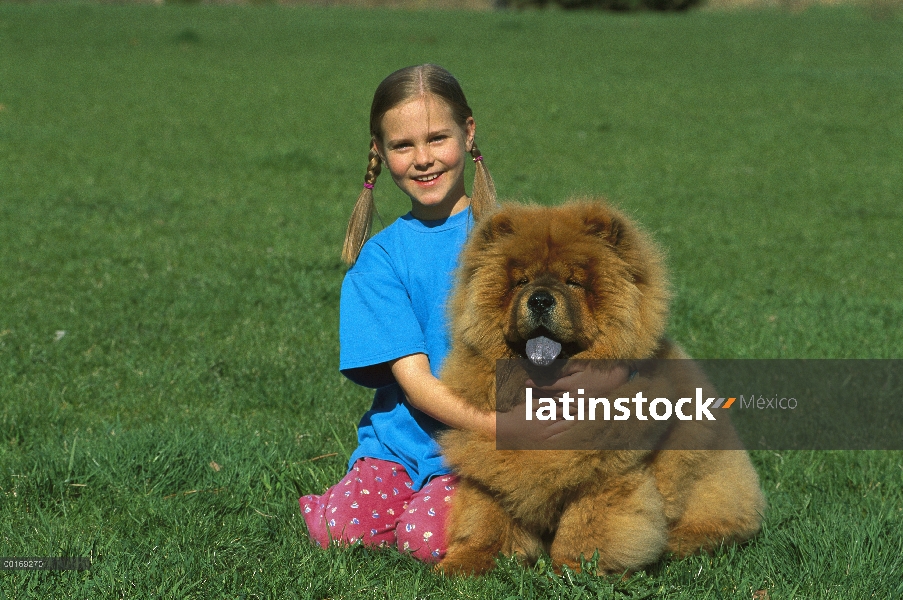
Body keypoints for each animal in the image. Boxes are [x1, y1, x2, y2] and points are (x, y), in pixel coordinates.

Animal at [438, 199, 764, 576]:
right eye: (521, 281)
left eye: (574, 282)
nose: (539, 299)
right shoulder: (490, 465)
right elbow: (486, 519)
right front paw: (465, 563)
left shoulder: (608, 475)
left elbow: (586, 528)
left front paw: (572, 570)